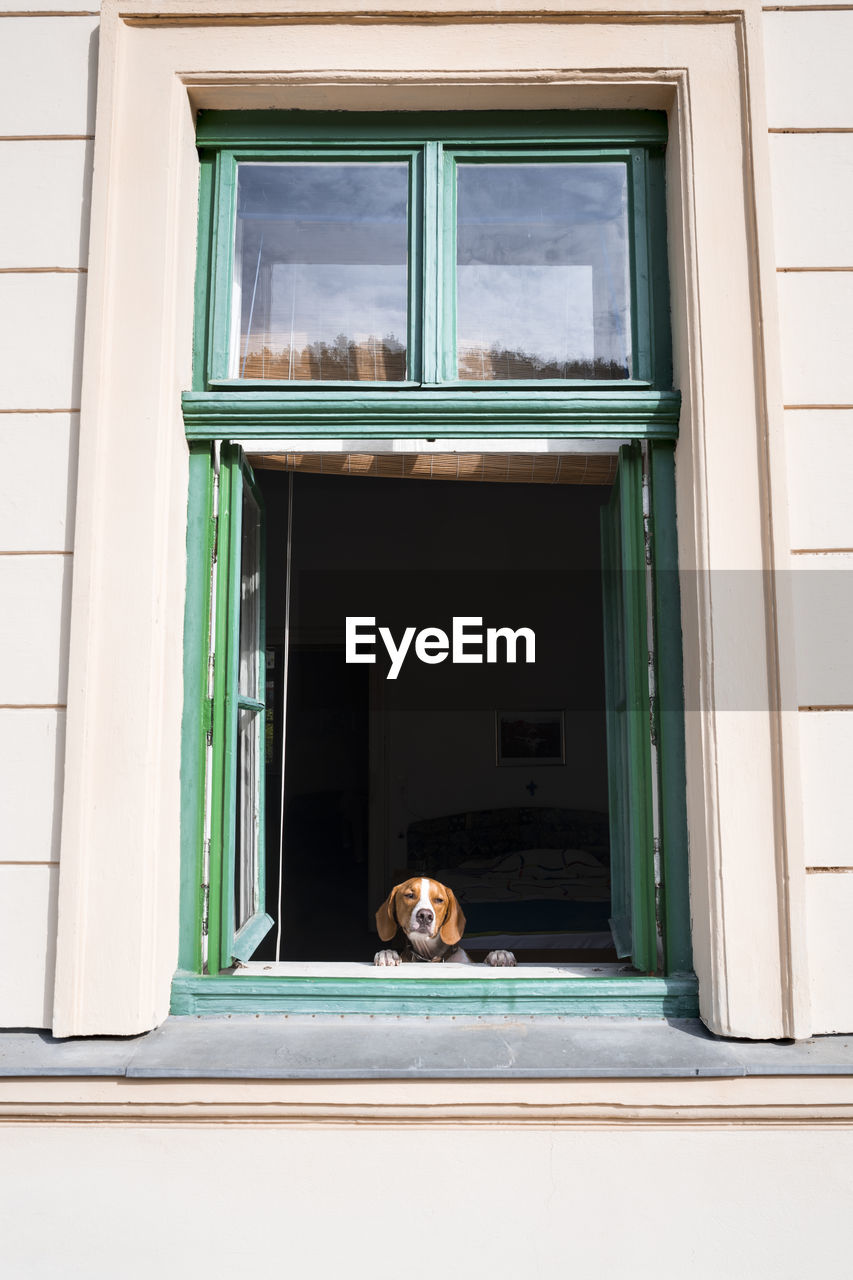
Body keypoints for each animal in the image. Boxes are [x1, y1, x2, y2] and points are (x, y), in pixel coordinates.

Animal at [373, 880, 517, 967]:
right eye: (409, 895)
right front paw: (387, 954)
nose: (425, 916)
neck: (431, 956)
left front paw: (500, 955)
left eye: (439, 900)